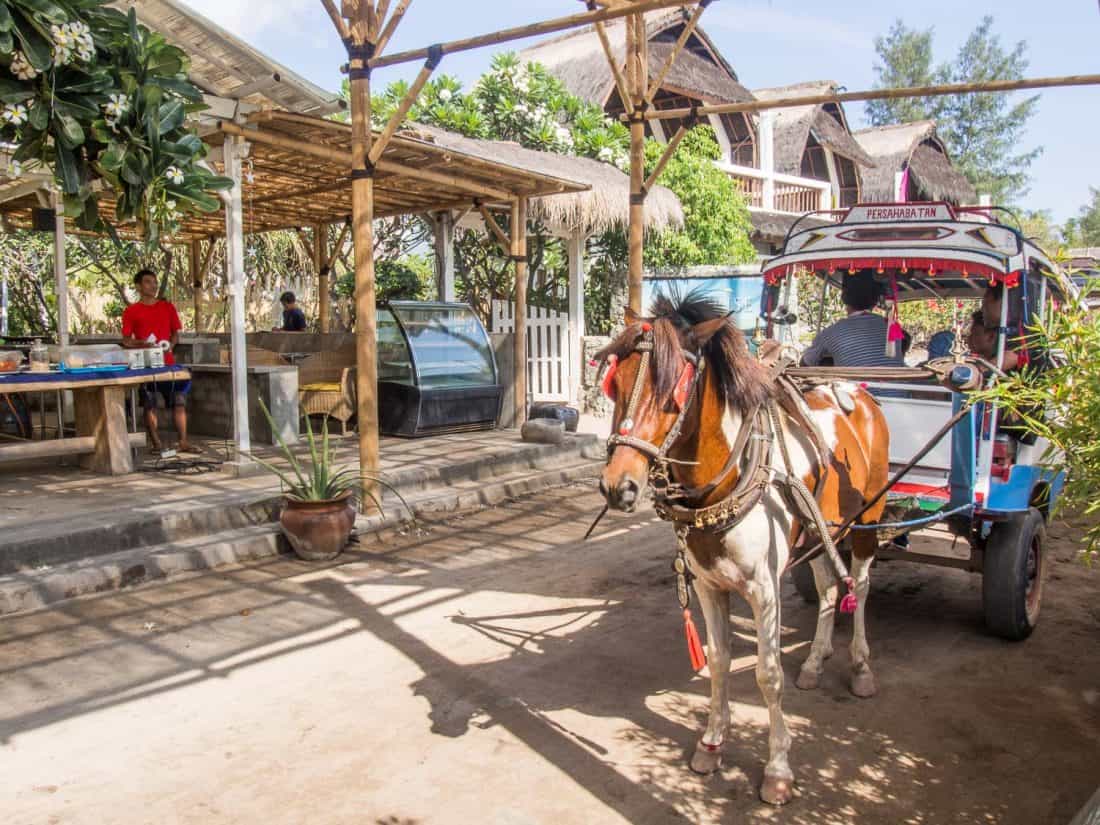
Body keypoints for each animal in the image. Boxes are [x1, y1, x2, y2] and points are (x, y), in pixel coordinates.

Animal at [598, 292, 888, 809]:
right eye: (617, 383)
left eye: (674, 391)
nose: (618, 486)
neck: (724, 482)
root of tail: (860, 392)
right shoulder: (709, 585)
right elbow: (718, 662)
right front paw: (712, 744)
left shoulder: (764, 589)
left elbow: (767, 675)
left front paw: (778, 769)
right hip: (822, 531)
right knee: (829, 589)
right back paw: (814, 661)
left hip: (868, 520)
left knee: (862, 585)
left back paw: (859, 665)